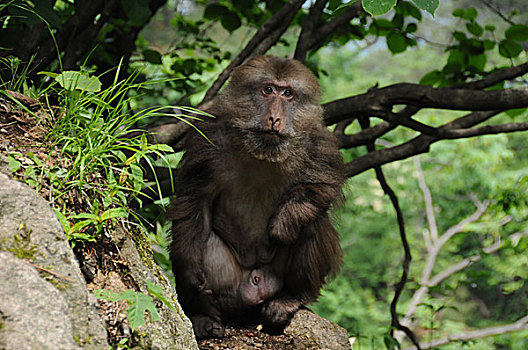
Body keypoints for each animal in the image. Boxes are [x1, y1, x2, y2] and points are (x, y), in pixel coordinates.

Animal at [167, 55, 344, 340]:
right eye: (268, 90)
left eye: (288, 94)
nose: (274, 117)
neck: (264, 152)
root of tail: (255, 288)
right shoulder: (208, 138)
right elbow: (194, 200)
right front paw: (189, 273)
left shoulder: (318, 143)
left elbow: (322, 188)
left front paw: (284, 222)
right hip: (231, 286)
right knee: (202, 238)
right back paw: (205, 315)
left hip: (275, 280)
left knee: (313, 222)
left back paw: (292, 298)